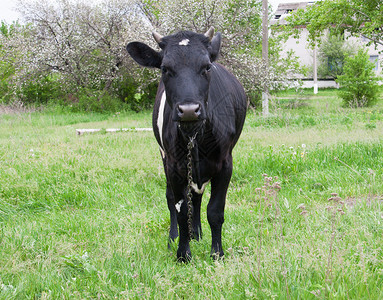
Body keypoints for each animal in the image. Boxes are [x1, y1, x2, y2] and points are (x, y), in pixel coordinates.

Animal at [127, 27, 248, 262]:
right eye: (165, 68)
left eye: (207, 67)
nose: (190, 110)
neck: (195, 136)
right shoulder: (174, 166)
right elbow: (181, 209)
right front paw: (183, 254)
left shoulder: (225, 164)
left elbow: (215, 211)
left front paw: (216, 253)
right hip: (164, 156)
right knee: (173, 198)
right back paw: (175, 237)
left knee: (197, 197)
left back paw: (197, 234)